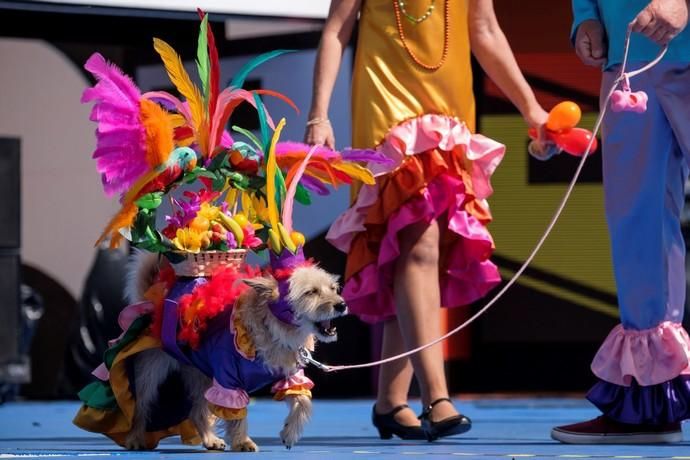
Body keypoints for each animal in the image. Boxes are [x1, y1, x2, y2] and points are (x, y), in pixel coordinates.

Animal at [117, 252, 346, 450]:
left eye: (333, 288)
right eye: (311, 292)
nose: (342, 305)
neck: (275, 330)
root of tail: (154, 302)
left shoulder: (291, 377)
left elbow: (302, 402)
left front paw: (289, 433)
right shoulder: (229, 380)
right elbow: (236, 413)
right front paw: (242, 442)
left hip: (202, 374)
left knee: (197, 412)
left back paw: (210, 439)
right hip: (151, 374)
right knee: (141, 407)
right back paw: (135, 438)